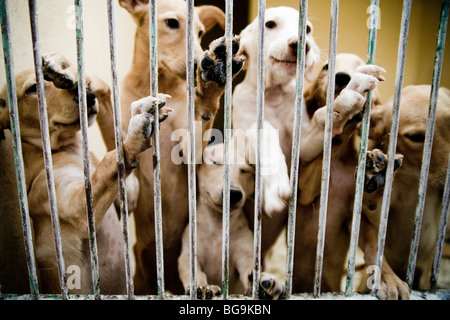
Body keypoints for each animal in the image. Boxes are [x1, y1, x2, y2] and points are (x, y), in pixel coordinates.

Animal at [0, 53, 172, 296]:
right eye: (33, 88)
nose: (89, 97)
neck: (70, 149)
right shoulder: (77, 208)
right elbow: (112, 157)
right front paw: (134, 136)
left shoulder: (128, 194)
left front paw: (66, 69)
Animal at [119, 0, 244, 296]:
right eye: (172, 23)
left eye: (200, 33)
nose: (199, 61)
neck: (160, 82)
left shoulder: (190, 151)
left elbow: (202, 116)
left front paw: (211, 83)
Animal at [178, 142, 284, 300]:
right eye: (215, 162)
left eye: (245, 170)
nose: (233, 193)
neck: (219, 224)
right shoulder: (188, 255)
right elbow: (195, 272)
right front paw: (203, 287)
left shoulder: (244, 254)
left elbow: (250, 267)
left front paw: (262, 282)